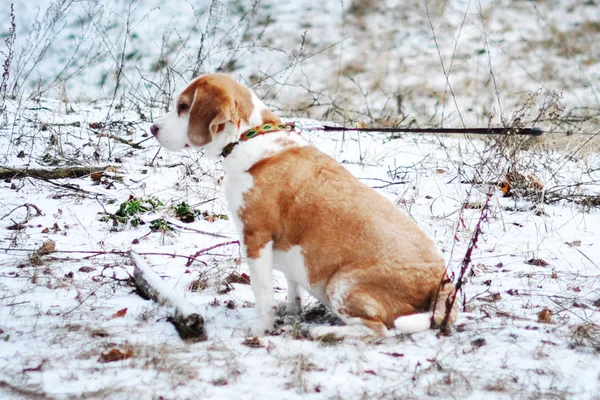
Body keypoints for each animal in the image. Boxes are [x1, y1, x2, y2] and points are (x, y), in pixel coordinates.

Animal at [152, 72, 458, 338]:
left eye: (183, 107)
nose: (153, 128)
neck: (247, 138)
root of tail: (440, 280)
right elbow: (292, 288)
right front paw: (290, 314)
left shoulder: (256, 238)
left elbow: (262, 293)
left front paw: (262, 328)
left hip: (341, 284)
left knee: (377, 330)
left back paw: (324, 332)